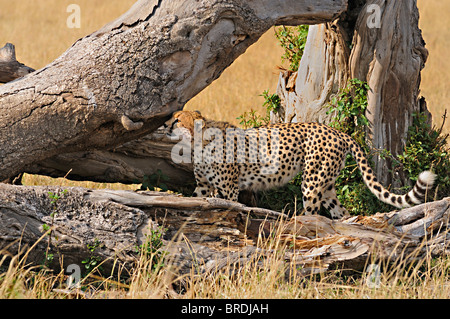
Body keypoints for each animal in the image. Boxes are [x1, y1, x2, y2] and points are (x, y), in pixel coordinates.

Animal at [165, 110, 436, 220]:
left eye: (177, 119)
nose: (165, 125)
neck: (198, 142)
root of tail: (336, 131)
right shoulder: (203, 186)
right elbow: (193, 201)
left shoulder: (229, 189)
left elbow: (231, 208)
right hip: (327, 185)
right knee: (340, 213)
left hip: (312, 182)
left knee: (314, 214)